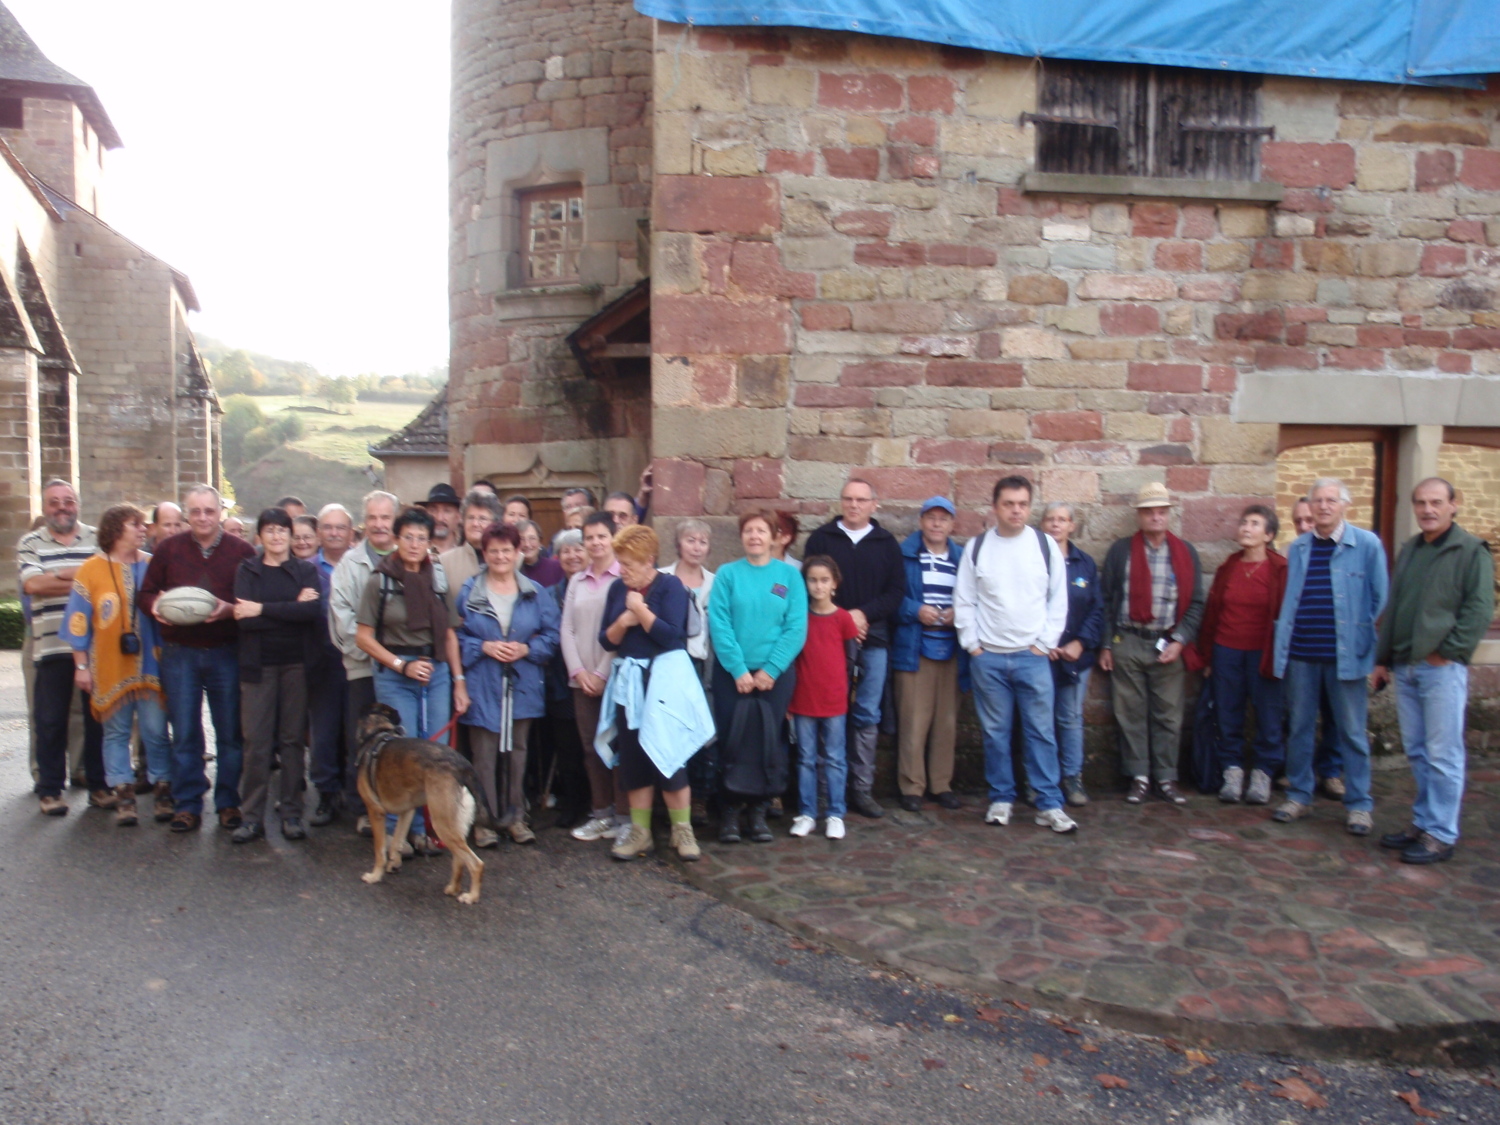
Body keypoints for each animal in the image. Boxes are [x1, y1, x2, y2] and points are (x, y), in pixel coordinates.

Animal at [352, 705, 495, 906]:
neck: (377, 733)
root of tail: (462, 765)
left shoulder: (376, 811)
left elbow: (380, 850)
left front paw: (375, 875)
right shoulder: (407, 811)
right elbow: (396, 841)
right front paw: (394, 863)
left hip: (442, 823)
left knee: (476, 864)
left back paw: (471, 896)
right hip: (455, 823)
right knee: (459, 859)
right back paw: (453, 888)